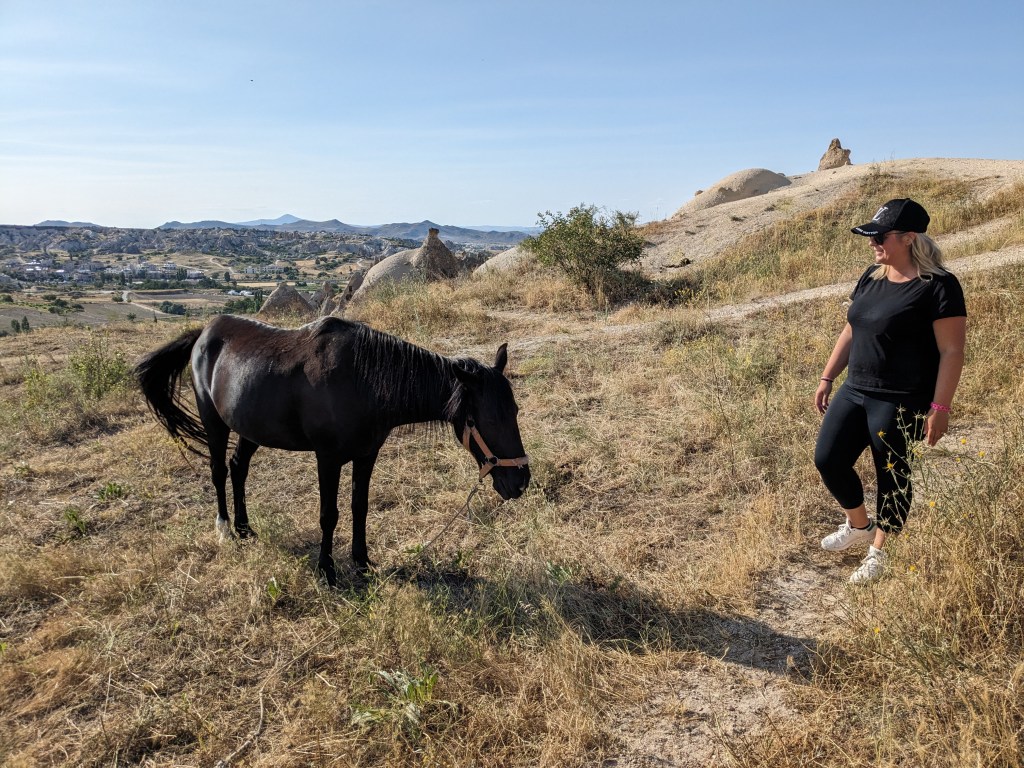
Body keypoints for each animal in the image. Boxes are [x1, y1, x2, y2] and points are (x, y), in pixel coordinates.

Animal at [134, 314, 530, 586]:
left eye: (514, 411)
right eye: (486, 419)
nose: (520, 481)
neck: (362, 380)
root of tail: (203, 333)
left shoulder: (367, 454)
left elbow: (359, 507)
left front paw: (362, 561)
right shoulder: (328, 459)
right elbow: (329, 514)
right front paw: (327, 570)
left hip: (251, 428)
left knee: (238, 467)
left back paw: (246, 528)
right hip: (214, 423)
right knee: (218, 471)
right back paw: (226, 529)